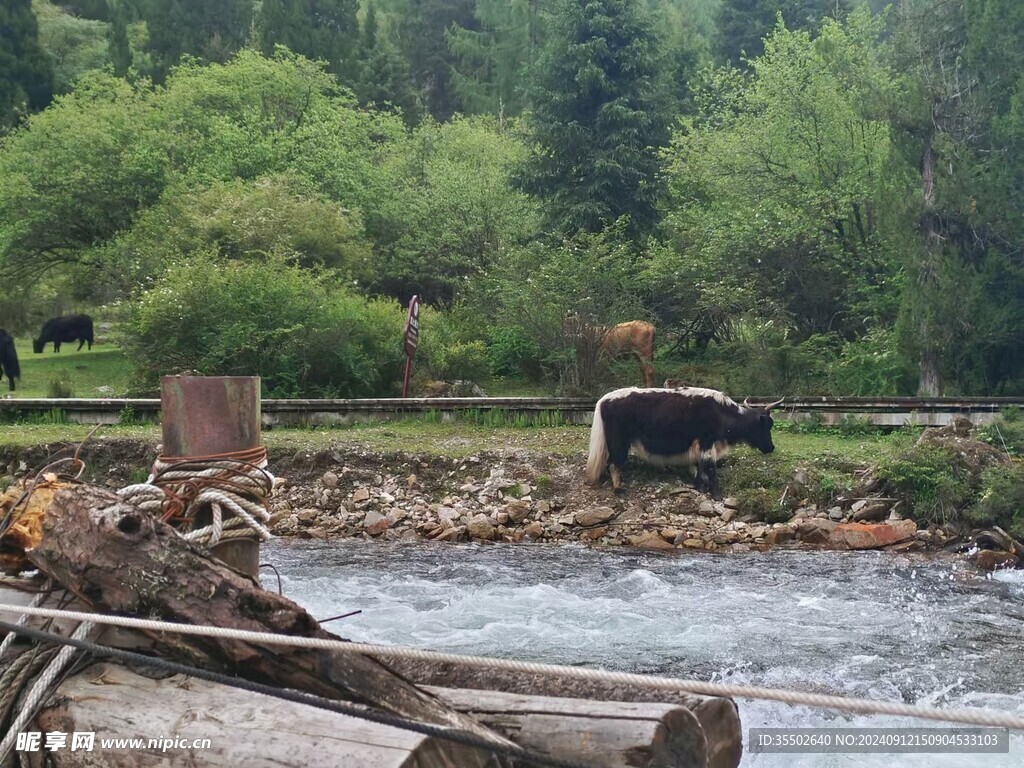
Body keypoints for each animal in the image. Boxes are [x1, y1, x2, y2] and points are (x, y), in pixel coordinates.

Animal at [585, 387, 782, 501]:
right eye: (767, 424)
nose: (771, 447)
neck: (723, 413)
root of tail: (603, 400)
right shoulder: (707, 442)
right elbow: (710, 468)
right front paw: (716, 495)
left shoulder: (700, 445)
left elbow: (699, 466)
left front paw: (699, 487)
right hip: (619, 442)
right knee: (613, 464)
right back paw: (619, 489)